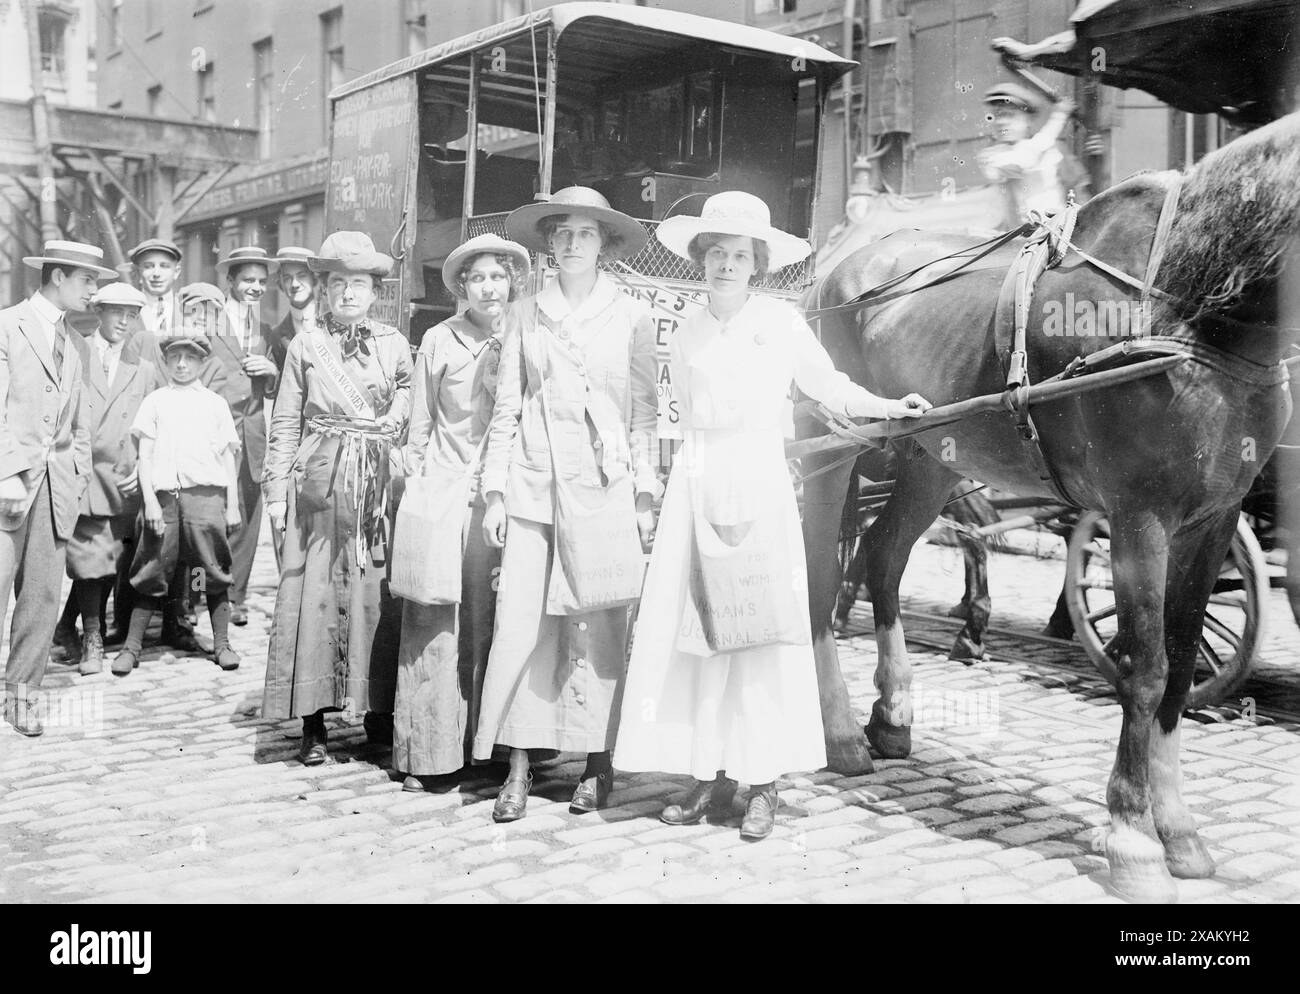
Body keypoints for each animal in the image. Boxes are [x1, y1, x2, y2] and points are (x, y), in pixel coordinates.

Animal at [800, 110, 1300, 899]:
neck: (1183, 311)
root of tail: (838, 260)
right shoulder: (1138, 519)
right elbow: (1147, 669)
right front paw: (1132, 838)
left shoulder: (1213, 522)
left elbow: (1182, 664)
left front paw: (1178, 830)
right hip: (833, 446)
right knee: (823, 570)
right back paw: (844, 732)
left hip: (929, 456)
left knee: (881, 558)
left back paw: (893, 713)